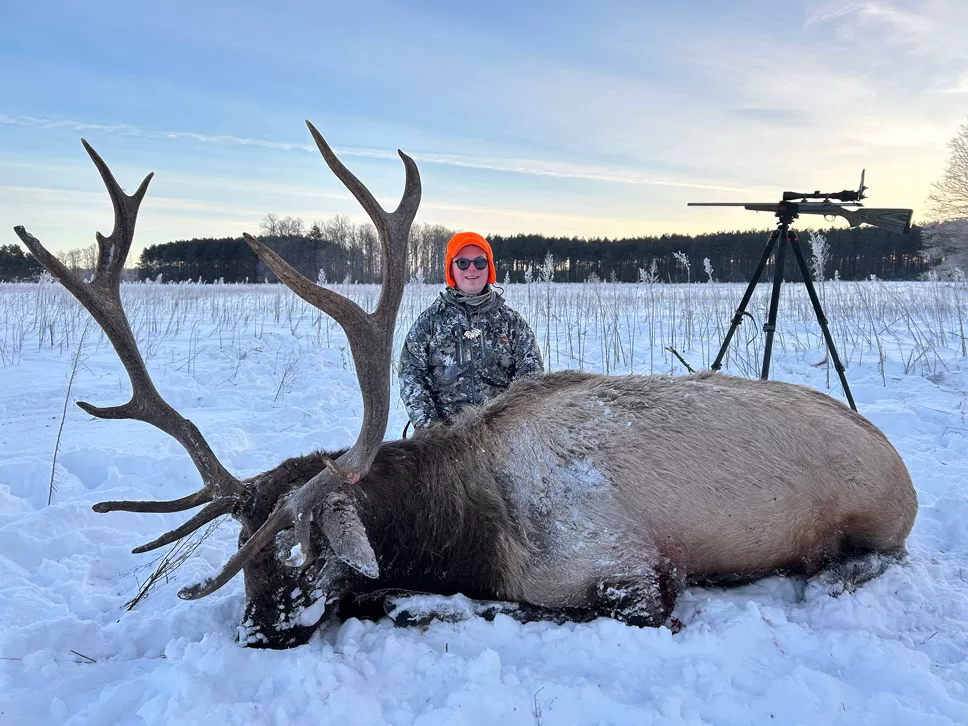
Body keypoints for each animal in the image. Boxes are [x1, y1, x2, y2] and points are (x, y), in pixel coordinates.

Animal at [14, 122, 919, 649]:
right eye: (243, 547)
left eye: (305, 542)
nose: (261, 631)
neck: (464, 527)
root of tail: (904, 471)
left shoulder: (631, 574)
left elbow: (453, 604)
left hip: (873, 524)